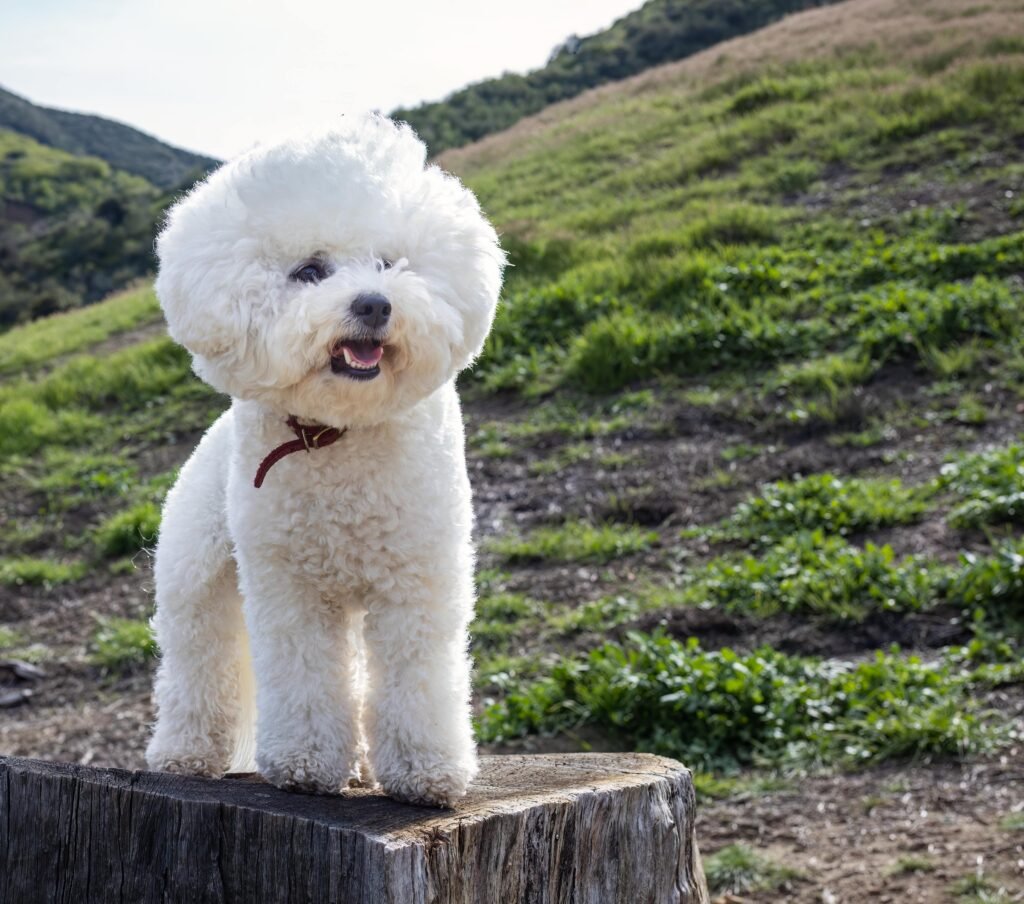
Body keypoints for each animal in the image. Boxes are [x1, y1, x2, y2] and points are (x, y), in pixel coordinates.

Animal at [146, 111, 505, 806]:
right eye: (310, 271)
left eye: (390, 263)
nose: (375, 303)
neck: (338, 432)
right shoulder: (291, 590)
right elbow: (304, 679)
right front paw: (307, 764)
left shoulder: (416, 582)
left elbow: (419, 677)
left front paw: (426, 769)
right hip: (194, 581)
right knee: (197, 664)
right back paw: (183, 754)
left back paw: (363, 766)